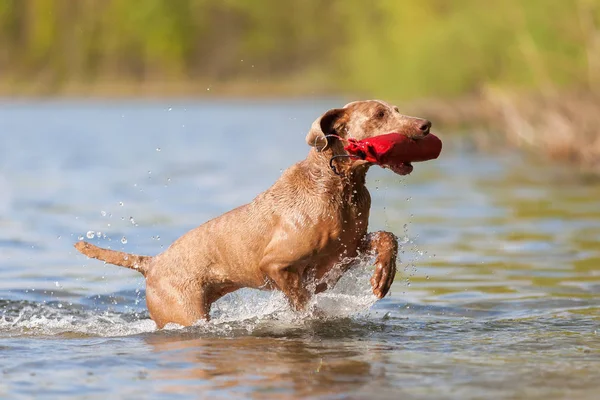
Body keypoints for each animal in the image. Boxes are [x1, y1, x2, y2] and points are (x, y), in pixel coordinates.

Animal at [75, 100, 434, 328]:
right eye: (379, 113)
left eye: (397, 110)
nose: (426, 124)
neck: (337, 182)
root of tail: (152, 263)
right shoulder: (276, 264)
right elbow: (303, 302)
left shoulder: (347, 248)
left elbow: (387, 237)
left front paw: (383, 276)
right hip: (183, 311)